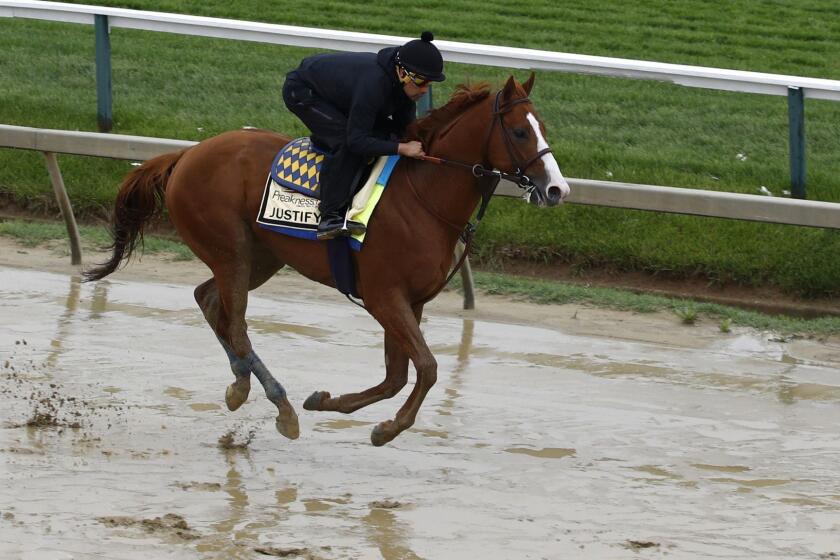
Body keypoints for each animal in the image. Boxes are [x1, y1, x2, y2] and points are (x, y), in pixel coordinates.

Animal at [83, 74, 572, 448]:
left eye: (544, 126)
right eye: (520, 131)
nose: (557, 190)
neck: (423, 196)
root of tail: (186, 153)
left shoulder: (409, 303)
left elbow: (398, 375)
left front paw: (327, 402)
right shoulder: (384, 296)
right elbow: (427, 369)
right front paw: (388, 428)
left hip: (260, 256)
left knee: (210, 302)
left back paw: (241, 384)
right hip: (231, 251)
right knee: (235, 324)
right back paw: (280, 406)